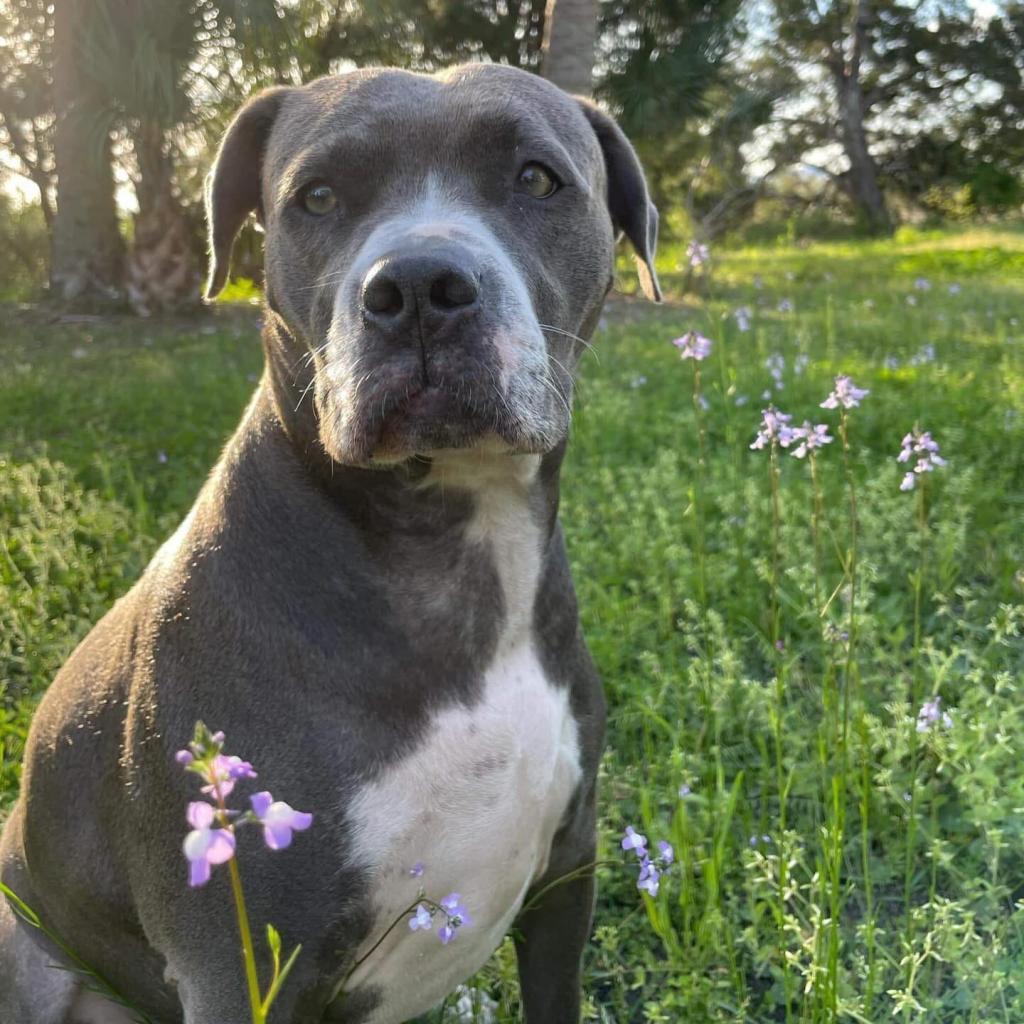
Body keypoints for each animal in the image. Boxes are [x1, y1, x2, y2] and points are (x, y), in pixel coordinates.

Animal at [2, 66, 655, 1024]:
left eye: (537, 178)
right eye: (316, 196)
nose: (417, 285)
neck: (448, 548)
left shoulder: (566, 877)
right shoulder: (239, 964)